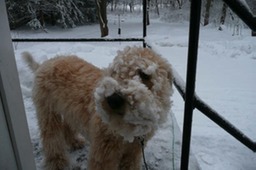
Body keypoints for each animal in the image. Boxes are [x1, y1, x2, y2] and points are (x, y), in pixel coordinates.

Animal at [23, 45, 173, 169]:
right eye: (114, 72)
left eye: (144, 74)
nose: (113, 99)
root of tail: (44, 64)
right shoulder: (104, 153)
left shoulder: (133, 153)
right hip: (48, 113)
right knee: (51, 138)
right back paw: (57, 162)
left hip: (67, 110)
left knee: (66, 126)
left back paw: (75, 141)